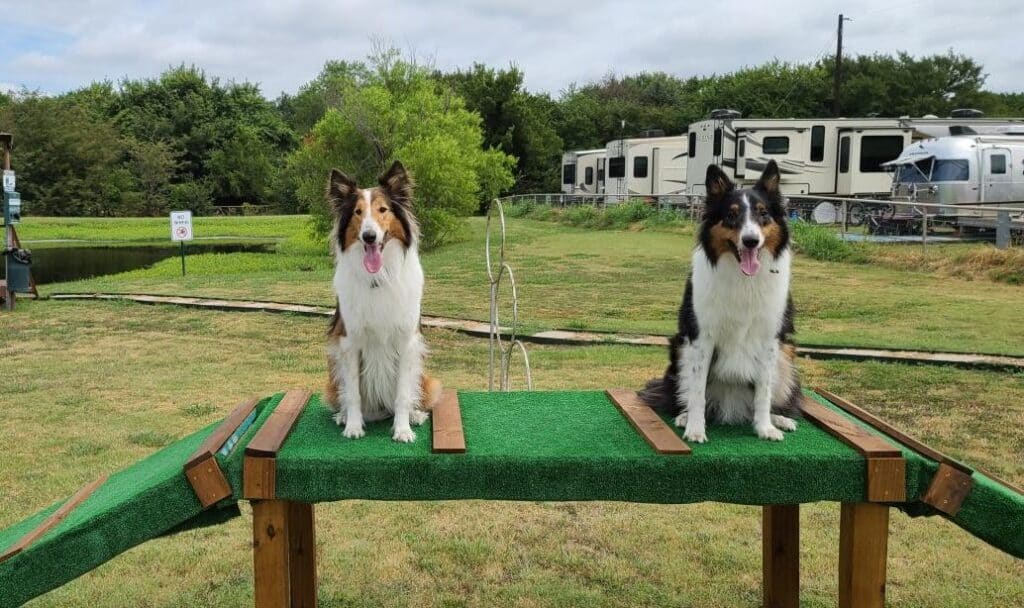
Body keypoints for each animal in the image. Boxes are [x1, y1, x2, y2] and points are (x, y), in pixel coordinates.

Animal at [325, 160, 442, 440]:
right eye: (357, 212)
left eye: (382, 209)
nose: (369, 236)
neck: (378, 276)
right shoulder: (349, 342)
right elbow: (353, 394)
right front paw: (353, 426)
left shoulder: (407, 341)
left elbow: (402, 393)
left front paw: (402, 429)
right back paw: (343, 416)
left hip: (427, 377)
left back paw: (415, 414)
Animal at [638, 159, 798, 440]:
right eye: (731, 214)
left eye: (763, 213)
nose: (751, 240)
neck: (743, 279)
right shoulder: (701, 337)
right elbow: (698, 391)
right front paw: (694, 428)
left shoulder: (770, 339)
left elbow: (764, 391)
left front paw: (765, 427)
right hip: (680, 349)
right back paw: (683, 416)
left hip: (785, 354)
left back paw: (780, 419)